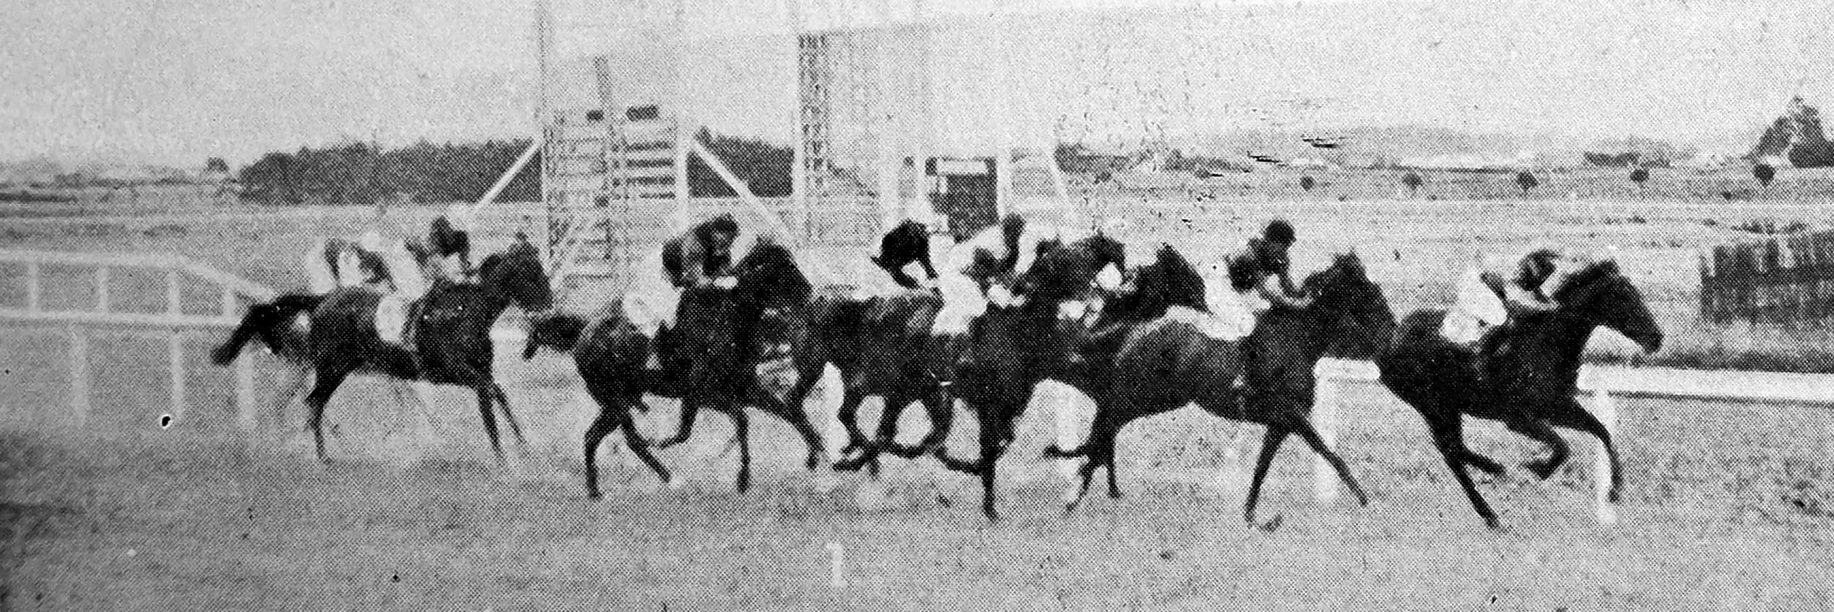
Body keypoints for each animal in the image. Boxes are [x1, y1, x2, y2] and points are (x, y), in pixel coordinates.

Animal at [209, 241, 546, 461]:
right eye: (531, 274)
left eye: (540, 272)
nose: (548, 303)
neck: (463, 314)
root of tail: (322, 300)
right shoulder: (456, 372)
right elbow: (487, 400)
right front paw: (502, 458)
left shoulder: (482, 369)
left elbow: (498, 393)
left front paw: (523, 446)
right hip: (332, 367)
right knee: (314, 402)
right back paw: (321, 456)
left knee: (308, 403)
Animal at [1379, 256, 1665, 527]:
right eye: (1624, 296)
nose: (1657, 338)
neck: (1547, 344)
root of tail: (1389, 341)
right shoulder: (1518, 418)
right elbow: (1561, 445)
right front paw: (1538, 468)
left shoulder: (1560, 406)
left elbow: (1600, 430)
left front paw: (1614, 489)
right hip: (1434, 408)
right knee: (1452, 453)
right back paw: (1493, 487)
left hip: (1447, 409)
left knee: (1455, 450)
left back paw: (1492, 488)